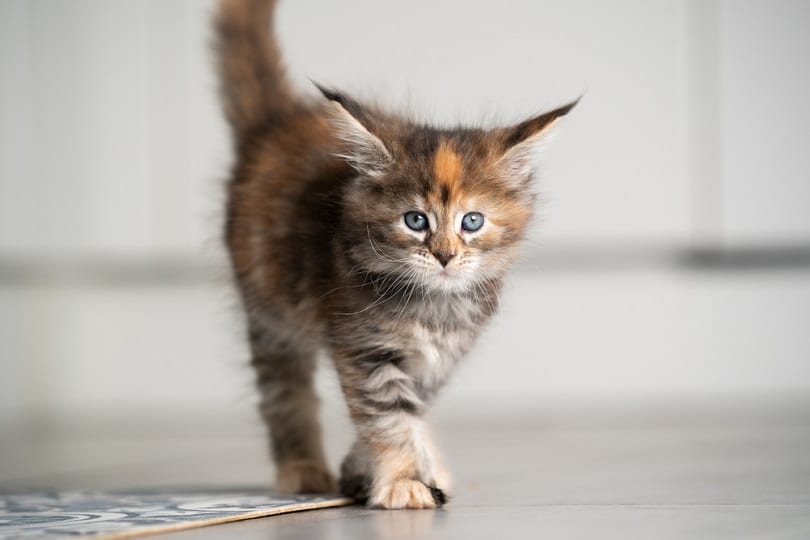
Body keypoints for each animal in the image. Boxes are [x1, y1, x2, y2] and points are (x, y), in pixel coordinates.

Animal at [211, 0, 572, 510]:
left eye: (472, 222)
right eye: (415, 221)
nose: (444, 256)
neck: (434, 307)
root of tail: (277, 123)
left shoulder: (437, 361)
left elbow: (411, 414)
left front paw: (378, 470)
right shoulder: (365, 347)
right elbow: (388, 417)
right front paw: (402, 479)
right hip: (271, 312)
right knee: (284, 391)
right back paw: (302, 468)